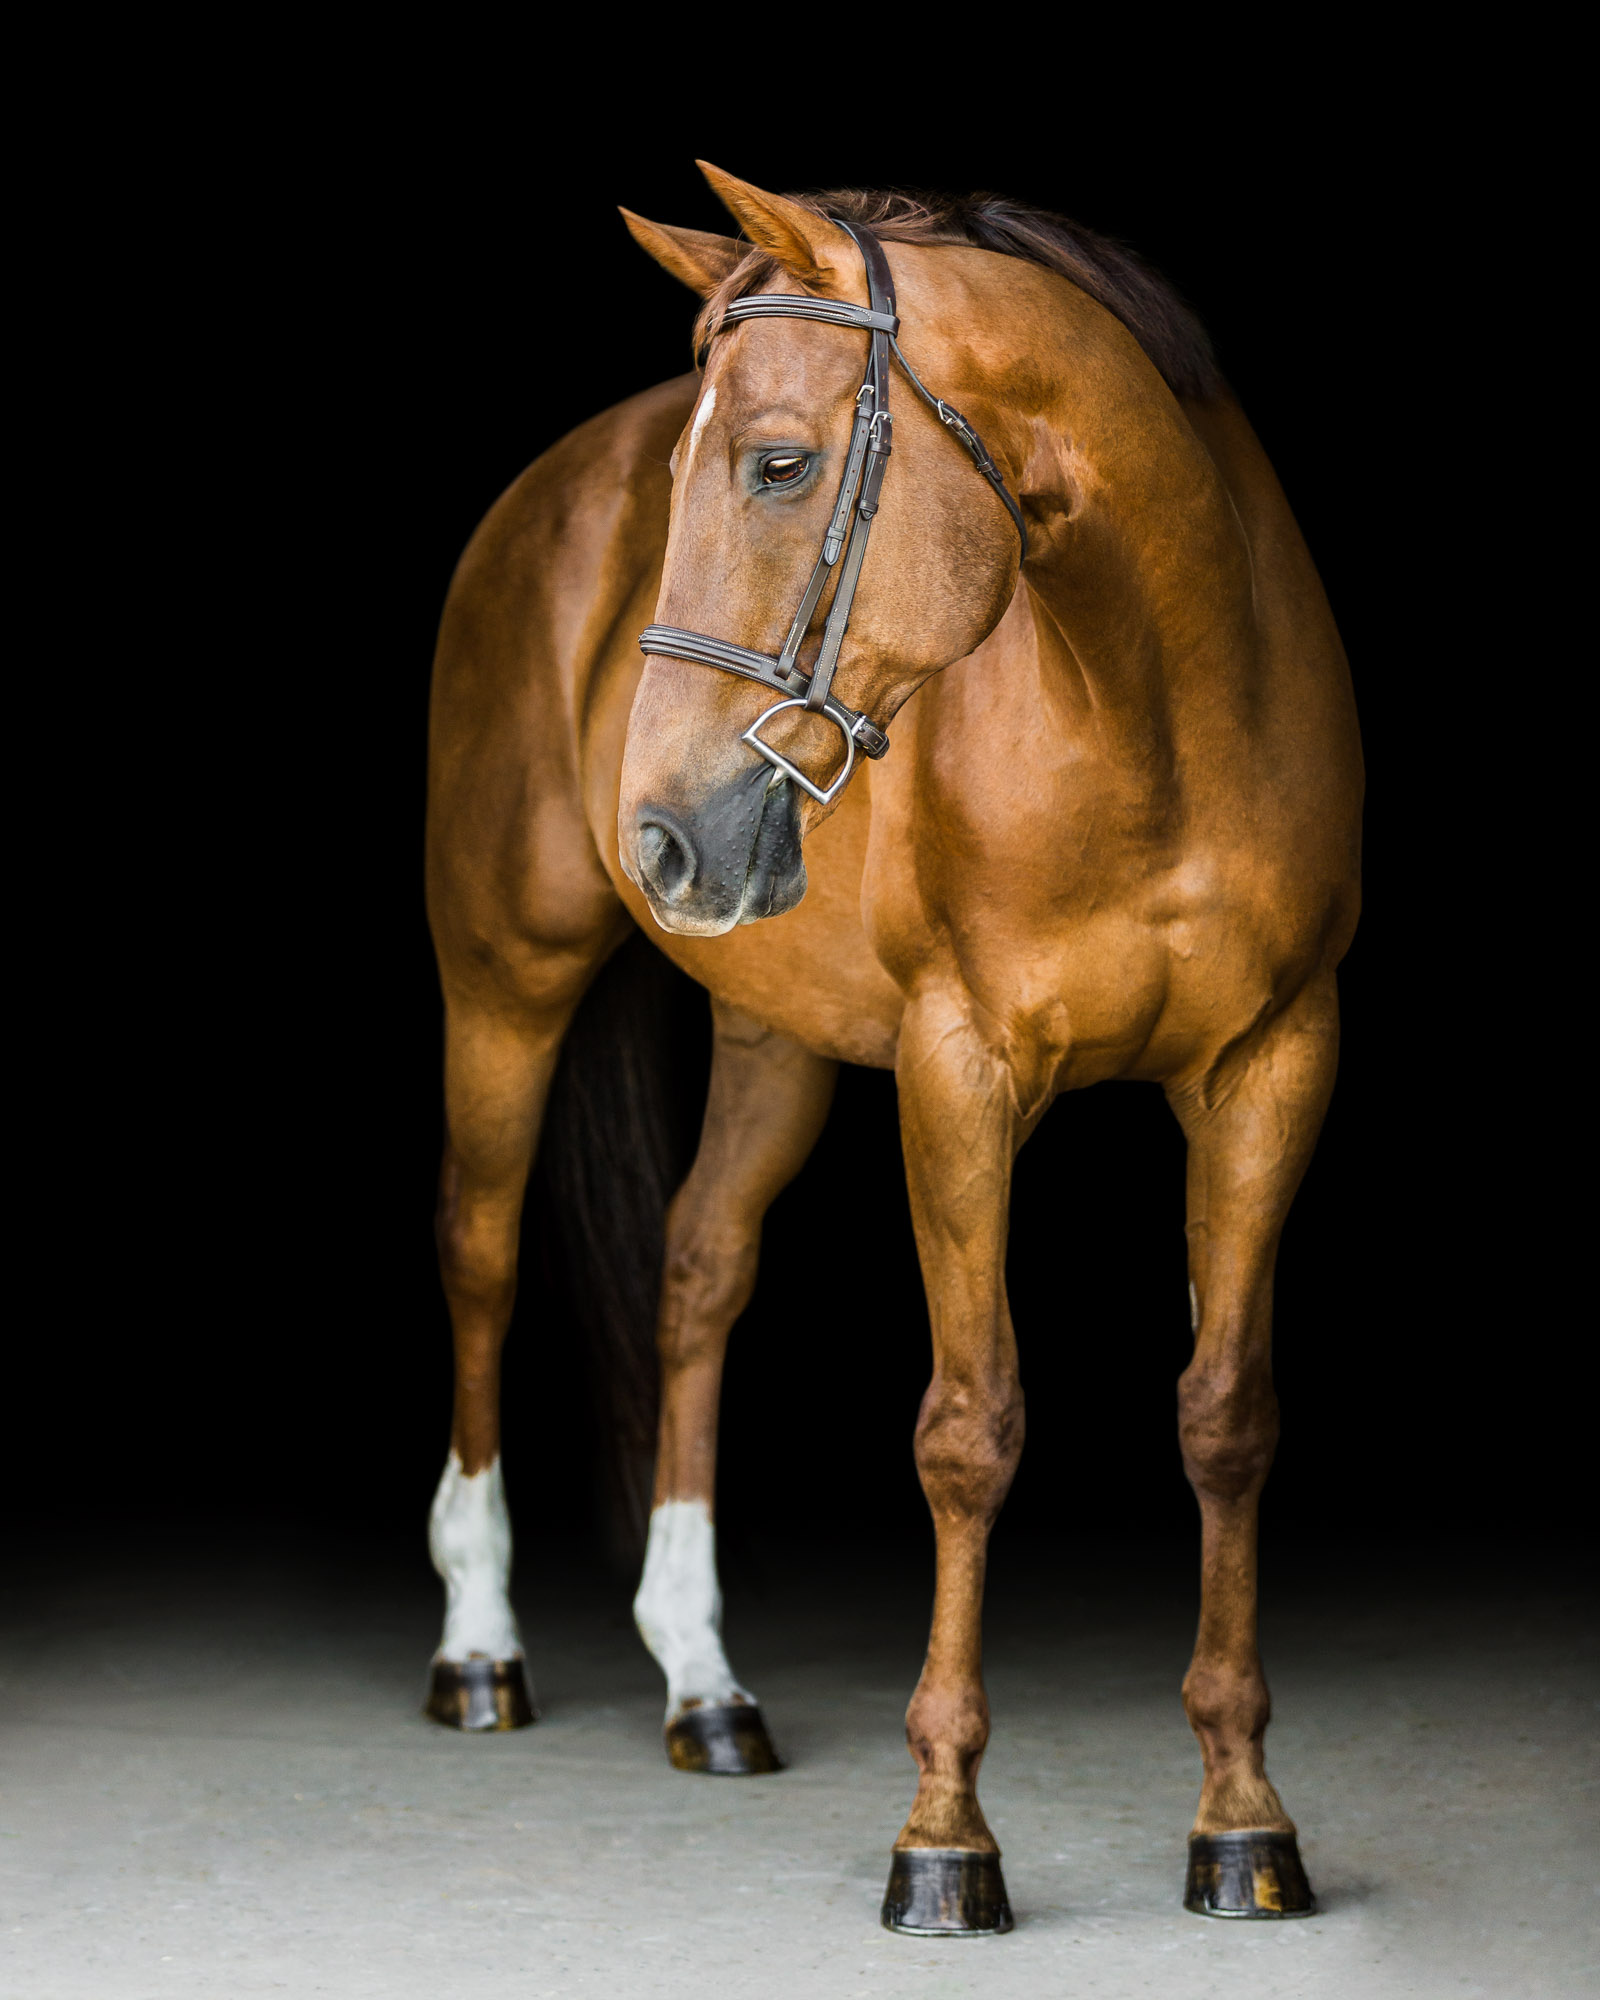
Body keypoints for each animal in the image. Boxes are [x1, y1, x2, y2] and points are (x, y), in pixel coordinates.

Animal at [416, 164, 1360, 1928]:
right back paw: (480, 1650)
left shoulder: (1272, 1069)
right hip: (502, 980)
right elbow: (970, 1429)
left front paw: (1243, 1822)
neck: (1158, 709)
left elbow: (1226, 1416)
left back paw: (705, 1683)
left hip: (772, 1030)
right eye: (685, 476)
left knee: (697, 1270)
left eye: (779, 463)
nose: (660, 835)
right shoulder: (959, 1075)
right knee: (482, 1257)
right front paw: (945, 1839)